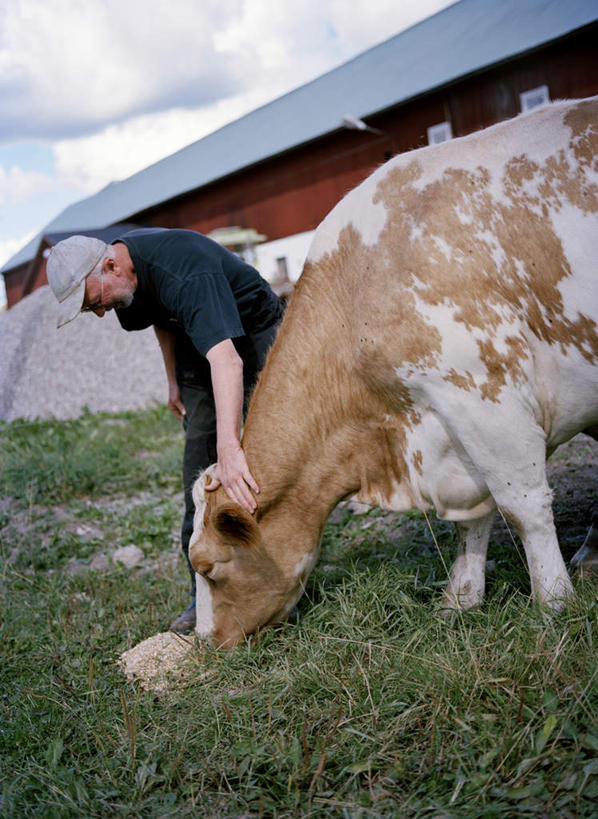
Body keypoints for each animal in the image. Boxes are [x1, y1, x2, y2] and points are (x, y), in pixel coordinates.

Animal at [190, 97, 596, 648]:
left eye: (207, 566)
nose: (205, 643)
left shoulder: (484, 395)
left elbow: (523, 506)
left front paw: (554, 604)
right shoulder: (453, 431)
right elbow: (474, 519)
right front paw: (460, 599)